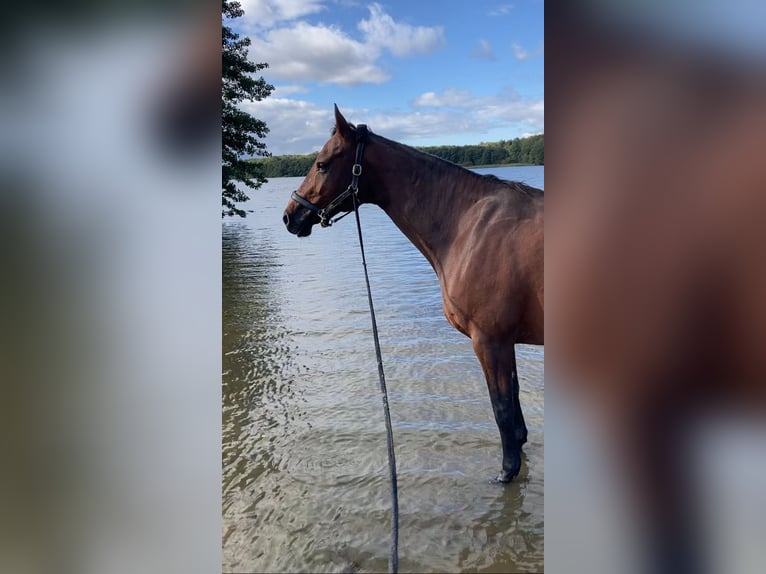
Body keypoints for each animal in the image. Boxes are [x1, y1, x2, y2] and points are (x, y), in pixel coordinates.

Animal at [283, 105, 544, 482]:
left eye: (322, 164)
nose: (291, 216)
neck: (467, 225)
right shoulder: (504, 341)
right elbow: (515, 408)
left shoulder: (490, 340)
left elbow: (502, 409)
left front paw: (507, 472)